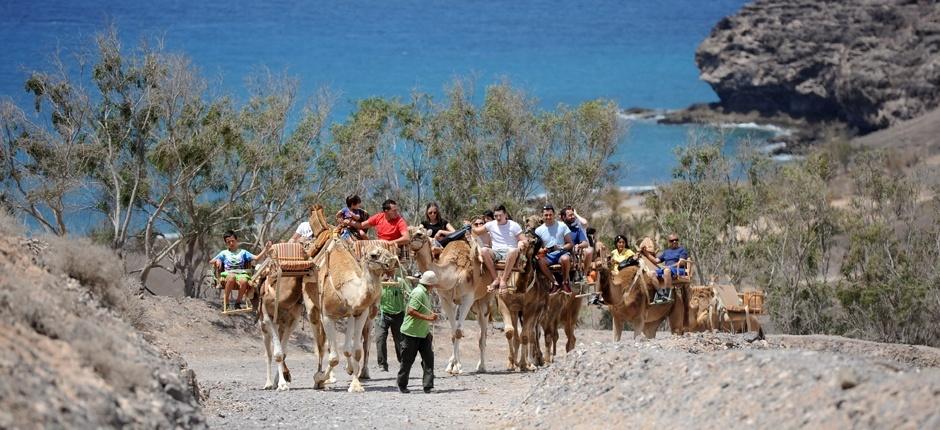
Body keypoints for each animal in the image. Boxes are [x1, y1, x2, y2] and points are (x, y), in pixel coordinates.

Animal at [406, 227, 492, 374]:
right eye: (409, 231)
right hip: (469, 304)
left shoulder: (468, 297)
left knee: (483, 333)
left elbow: (458, 332)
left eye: (420, 233)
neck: (454, 271)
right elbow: (453, 332)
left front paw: (457, 368)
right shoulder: (445, 299)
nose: (410, 241)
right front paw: (452, 366)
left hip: (484, 299)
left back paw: (482, 366)